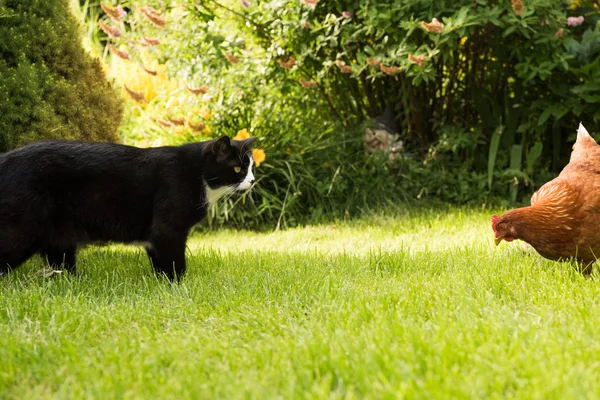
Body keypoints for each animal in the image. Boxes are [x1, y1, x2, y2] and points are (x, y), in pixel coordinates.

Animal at [0, 136, 255, 280]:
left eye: (252, 167)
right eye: (237, 169)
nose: (253, 181)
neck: (197, 173)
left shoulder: (155, 238)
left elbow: (160, 264)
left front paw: (163, 284)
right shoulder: (167, 231)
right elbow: (175, 263)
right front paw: (179, 285)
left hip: (59, 236)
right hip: (22, 229)